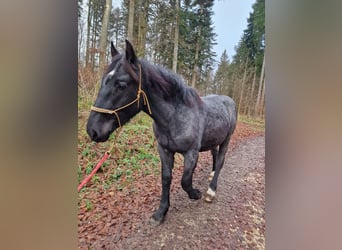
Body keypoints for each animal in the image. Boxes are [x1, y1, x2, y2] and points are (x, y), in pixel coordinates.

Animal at [85, 40, 236, 224]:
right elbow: (166, 178)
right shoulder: (164, 150)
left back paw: (211, 190)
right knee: (215, 155)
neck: (176, 115)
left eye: (121, 84)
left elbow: (185, 180)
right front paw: (161, 212)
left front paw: (195, 194)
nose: (93, 130)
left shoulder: (191, 153)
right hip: (214, 140)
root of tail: (229, 100)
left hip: (226, 140)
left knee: (220, 160)